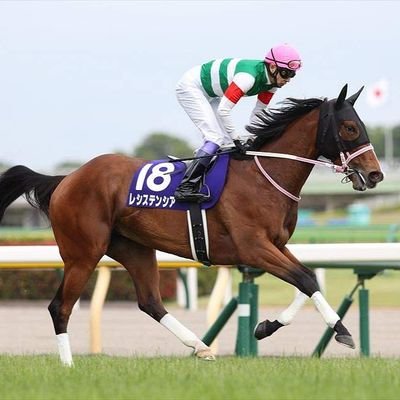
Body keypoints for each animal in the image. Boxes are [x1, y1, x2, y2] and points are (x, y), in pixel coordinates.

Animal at [0, 84, 384, 366]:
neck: (264, 176)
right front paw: (343, 332)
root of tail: (66, 179)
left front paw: (266, 326)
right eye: (350, 127)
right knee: (60, 307)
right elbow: (304, 279)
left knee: (151, 302)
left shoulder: (275, 245)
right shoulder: (253, 248)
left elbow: (307, 280)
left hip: (134, 248)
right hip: (83, 253)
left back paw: (201, 346)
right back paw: (68, 365)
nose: (375, 174)